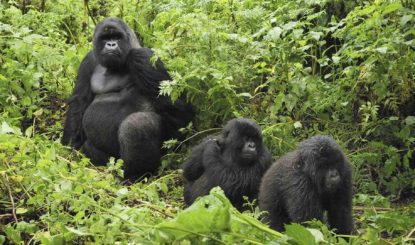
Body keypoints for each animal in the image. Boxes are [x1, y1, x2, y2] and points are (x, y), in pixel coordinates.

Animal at [62, 17, 195, 178]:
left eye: (117, 37)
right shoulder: (89, 60)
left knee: (136, 124)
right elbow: (79, 104)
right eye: (105, 38)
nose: (111, 44)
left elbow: (179, 113)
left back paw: (135, 176)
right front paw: (68, 151)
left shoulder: (143, 57)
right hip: (112, 161)